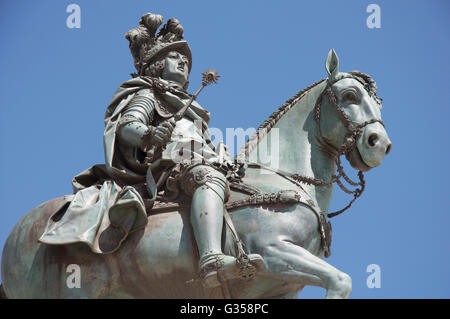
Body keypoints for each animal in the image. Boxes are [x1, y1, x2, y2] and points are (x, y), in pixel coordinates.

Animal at [0, 50, 390, 300]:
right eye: (350, 95)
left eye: (378, 101)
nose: (379, 144)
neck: (279, 180)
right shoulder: (274, 252)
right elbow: (341, 280)